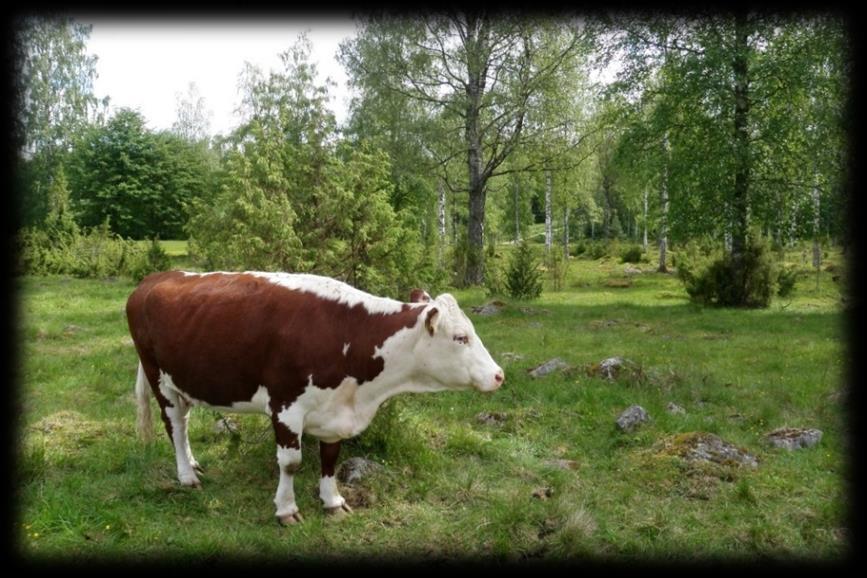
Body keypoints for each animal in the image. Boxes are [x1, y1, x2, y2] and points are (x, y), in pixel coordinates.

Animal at [125, 270, 506, 520]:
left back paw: (191, 462)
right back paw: (186, 477)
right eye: (460, 337)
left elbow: (330, 458)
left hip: (182, 379)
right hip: (159, 377)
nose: (499, 375)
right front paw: (286, 509)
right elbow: (291, 463)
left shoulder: (334, 410)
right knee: (174, 425)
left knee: (185, 422)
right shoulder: (285, 405)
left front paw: (333, 502)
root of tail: (155, 278)